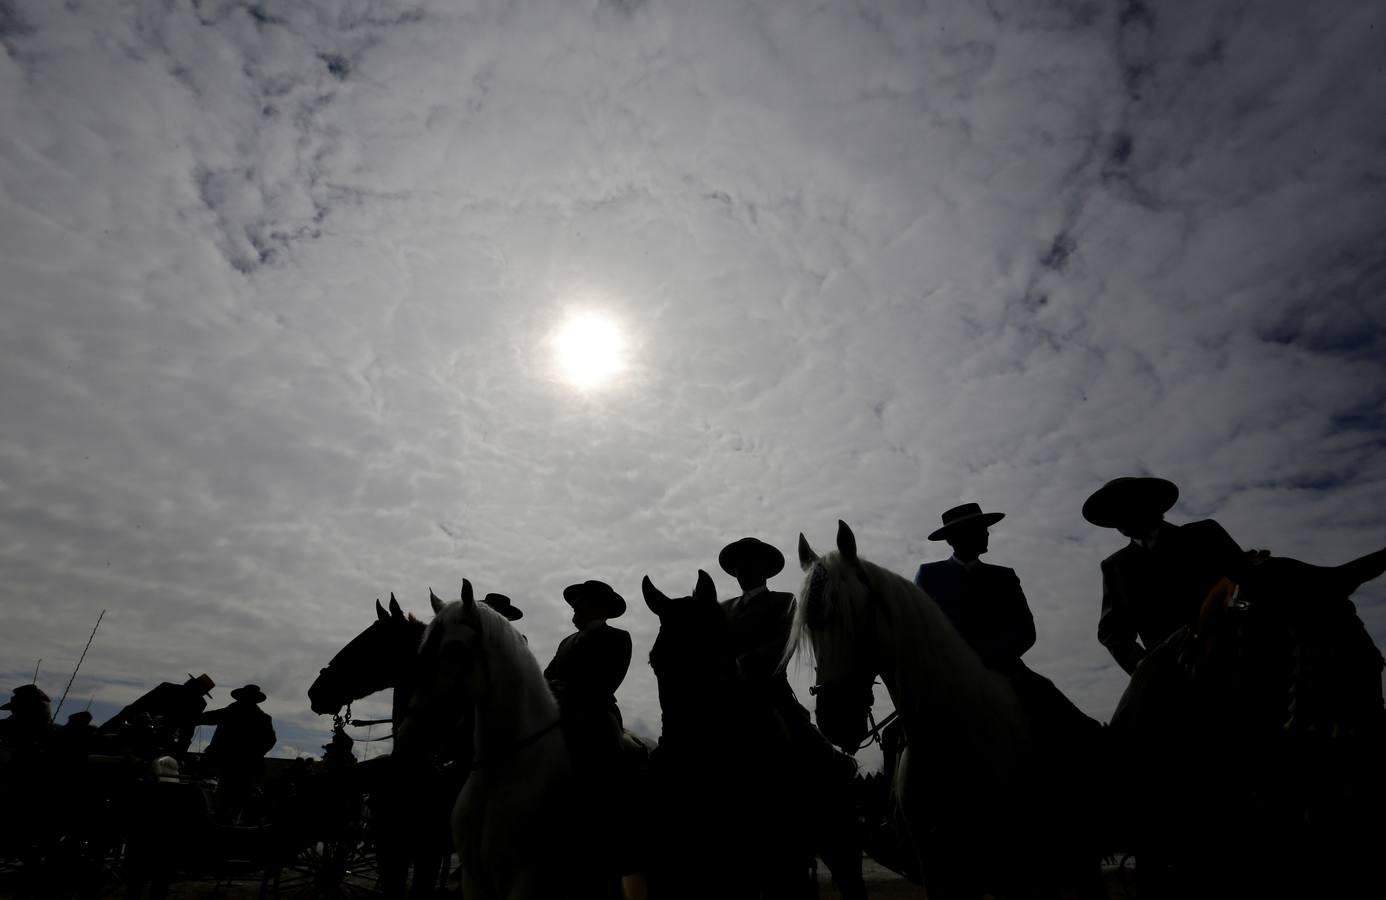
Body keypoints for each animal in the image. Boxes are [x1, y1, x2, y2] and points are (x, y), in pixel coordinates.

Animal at [401, 579, 607, 893]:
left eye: (454, 649)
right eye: (423, 649)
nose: (408, 734)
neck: (497, 773)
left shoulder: (525, 878)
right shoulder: (473, 878)